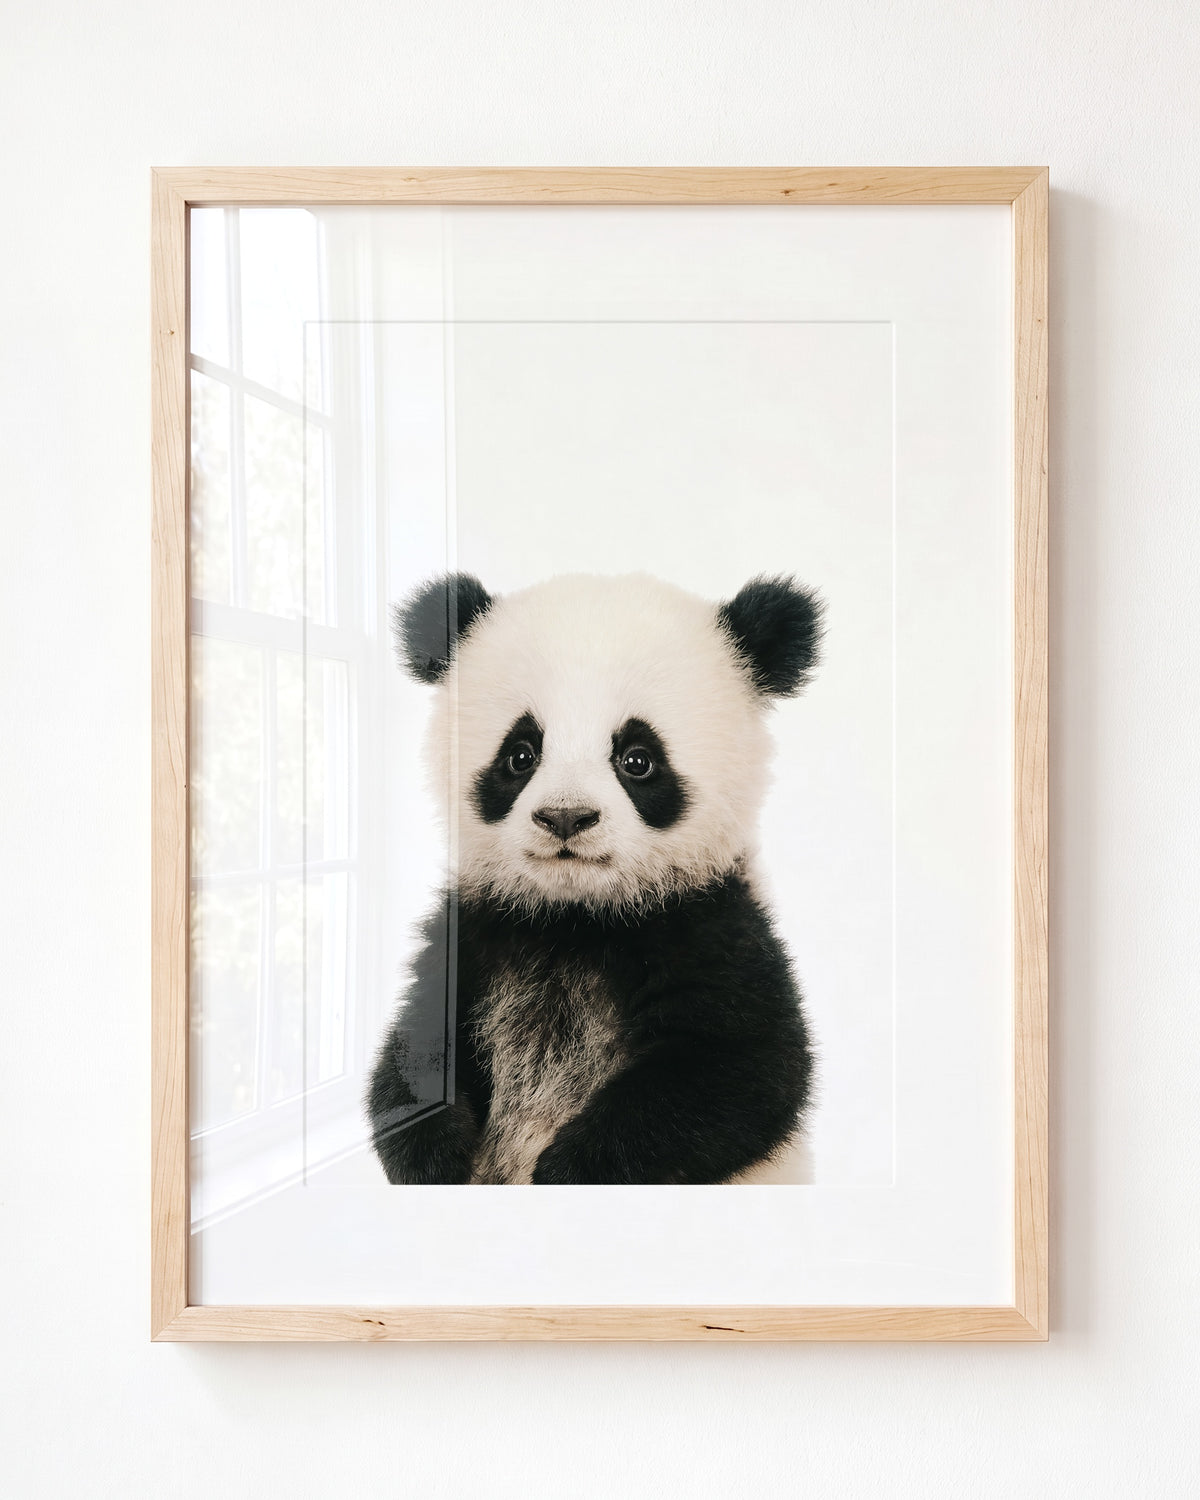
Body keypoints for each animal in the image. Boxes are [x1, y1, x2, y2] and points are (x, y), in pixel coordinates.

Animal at [367, 569, 823, 1185]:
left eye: (638, 759)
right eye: (520, 754)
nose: (566, 817)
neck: (576, 916)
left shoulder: (712, 926)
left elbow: (742, 1069)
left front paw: (567, 1170)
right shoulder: (475, 929)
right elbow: (414, 1050)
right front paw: (435, 1157)